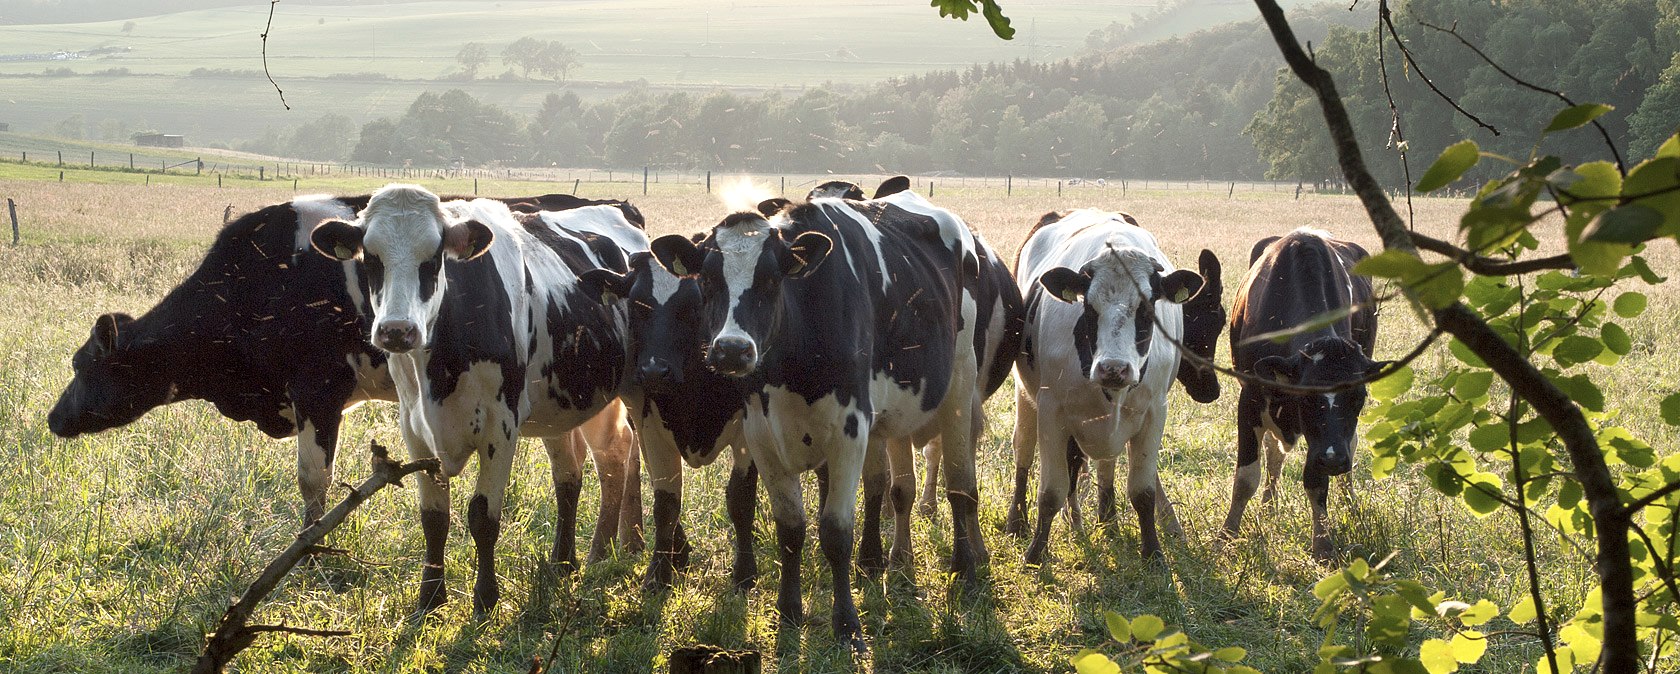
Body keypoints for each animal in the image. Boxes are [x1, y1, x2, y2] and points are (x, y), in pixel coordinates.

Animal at [50, 191, 641, 564]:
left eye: (84, 366)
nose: (55, 418)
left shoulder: (319, 390)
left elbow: (313, 479)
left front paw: (308, 552)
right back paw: (623, 543)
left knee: (619, 451)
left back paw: (618, 545)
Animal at [309, 184, 641, 615]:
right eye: (371, 257)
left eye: (433, 257)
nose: (397, 331)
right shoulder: (414, 428)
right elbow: (434, 517)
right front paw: (430, 598)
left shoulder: (501, 427)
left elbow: (483, 517)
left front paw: (485, 599)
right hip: (558, 406)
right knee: (570, 475)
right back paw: (564, 562)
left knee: (618, 456)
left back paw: (606, 550)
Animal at [651, 184, 994, 652]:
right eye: (706, 281)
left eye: (773, 279)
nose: (732, 350)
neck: (793, 366)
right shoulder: (762, 435)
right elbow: (791, 529)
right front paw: (788, 612)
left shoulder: (850, 429)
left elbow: (834, 532)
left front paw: (847, 624)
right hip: (890, 413)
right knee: (888, 487)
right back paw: (880, 562)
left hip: (959, 385)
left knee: (960, 487)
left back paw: (964, 570)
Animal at [1007, 210, 1223, 561]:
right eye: (1089, 307)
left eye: (1148, 308)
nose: (1114, 369)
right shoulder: (1052, 412)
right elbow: (1050, 491)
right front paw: (1035, 553)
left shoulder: (1153, 413)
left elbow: (1143, 491)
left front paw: (1153, 554)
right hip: (1026, 399)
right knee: (1024, 452)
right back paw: (1018, 522)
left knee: (1104, 464)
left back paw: (1107, 521)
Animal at [1223, 228, 1377, 558]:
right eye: (1305, 396)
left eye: (1359, 398)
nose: (1334, 460)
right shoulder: (1250, 399)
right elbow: (1246, 477)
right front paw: (1226, 536)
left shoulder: (1322, 441)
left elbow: (1316, 482)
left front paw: (1323, 545)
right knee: (1273, 453)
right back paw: (1268, 508)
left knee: (1350, 446)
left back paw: (1351, 506)